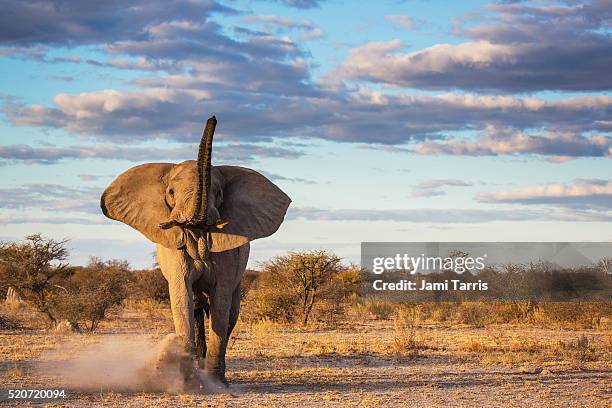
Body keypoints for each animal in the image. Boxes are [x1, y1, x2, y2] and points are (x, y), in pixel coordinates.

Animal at [100, 116, 292, 384]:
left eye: (219, 193)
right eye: (170, 193)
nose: (213, 118)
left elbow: (221, 306)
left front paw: (215, 383)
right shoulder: (174, 250)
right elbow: (182, 300)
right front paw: (187, 380)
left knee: (229, 313)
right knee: (198, 308)